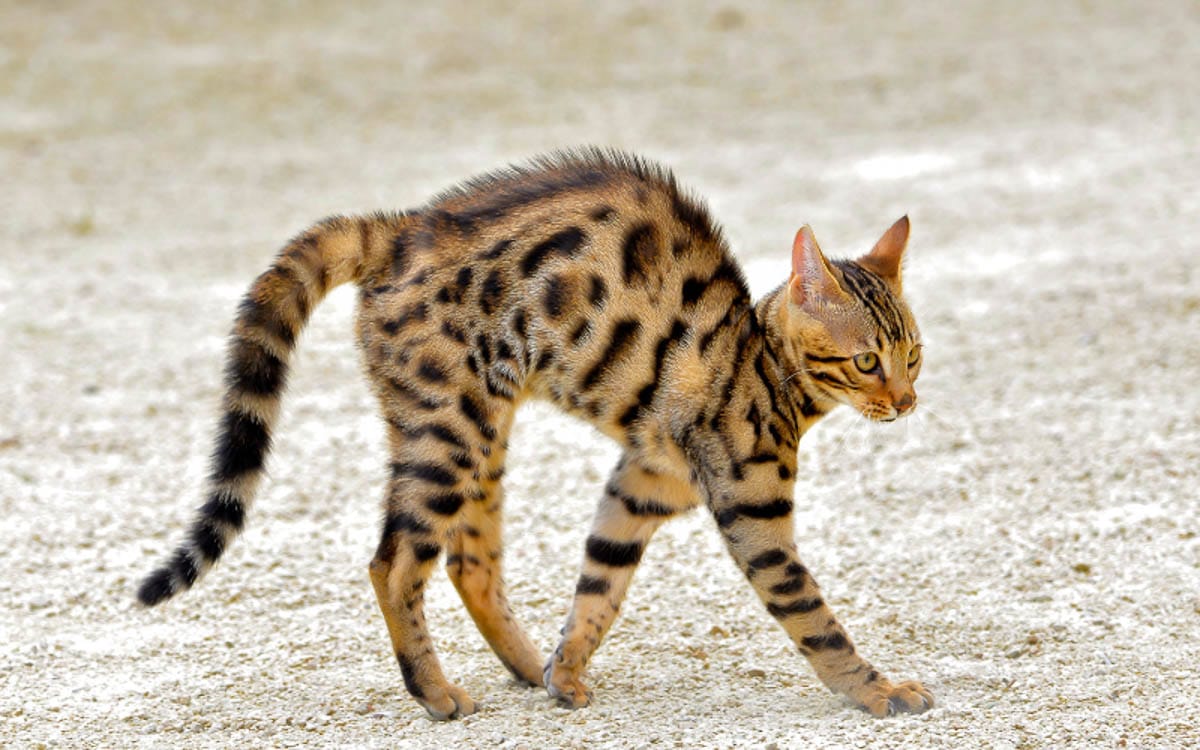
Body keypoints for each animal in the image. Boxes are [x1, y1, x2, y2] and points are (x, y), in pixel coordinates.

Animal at [136, 147, 931, 720]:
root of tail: (400, 227)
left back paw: (525, 666)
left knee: (469, 563)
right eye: (866, 361)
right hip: (451, 435)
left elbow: (598, 586)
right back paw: (435, 694)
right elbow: (814, 617)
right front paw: (878, 690)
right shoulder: (752, 512)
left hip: (479, 434)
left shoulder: (641, 484)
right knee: (394, 565)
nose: (907, 401)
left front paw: (566, 670)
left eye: (914, 354)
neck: (762, 363)